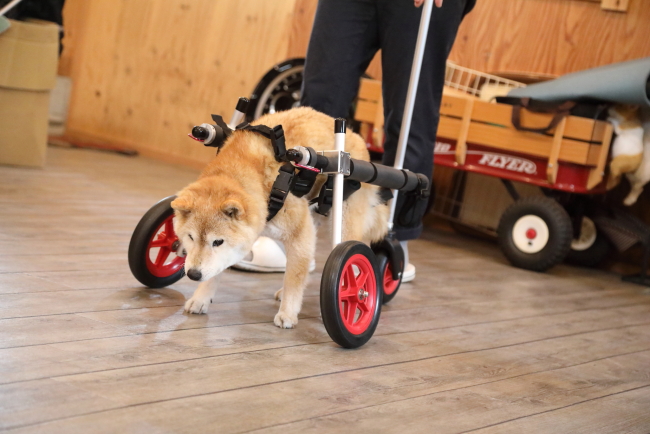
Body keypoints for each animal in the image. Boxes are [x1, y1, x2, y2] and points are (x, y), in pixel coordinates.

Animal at [170, 107, 388, 328]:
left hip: (342, 224)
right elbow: (215, 271)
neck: (258, 177)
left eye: (218, 242)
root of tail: (356, 138)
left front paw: (288, 313)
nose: (193, 274)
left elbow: (294, 278)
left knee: (347, 258)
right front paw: (201, 298)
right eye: (190, 238)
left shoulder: (300, 232)